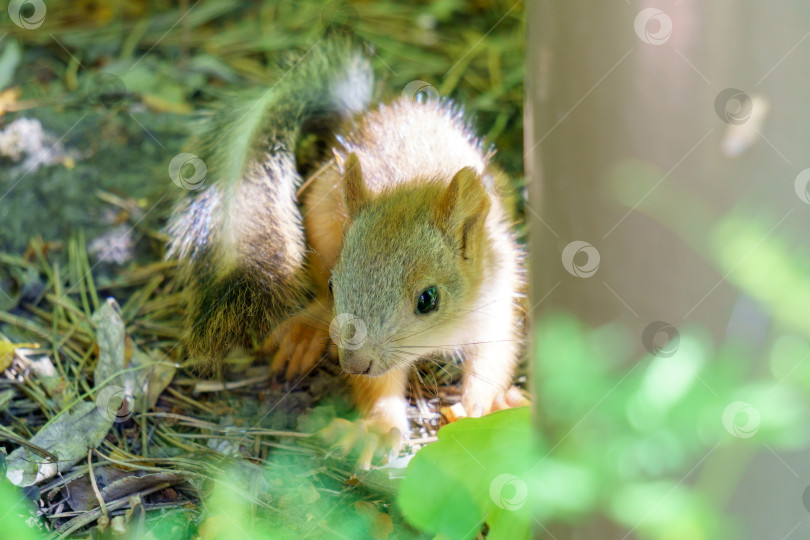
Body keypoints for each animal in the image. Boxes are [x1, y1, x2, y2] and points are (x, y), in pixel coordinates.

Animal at [167, 38, 528, 464]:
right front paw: (376, 429)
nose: (354, 363)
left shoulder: (498, 296)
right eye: (335, 284)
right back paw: (306, 332)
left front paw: (480, 408)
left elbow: (497, 355)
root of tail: (364, 113)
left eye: (428, 299)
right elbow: (378, 385)